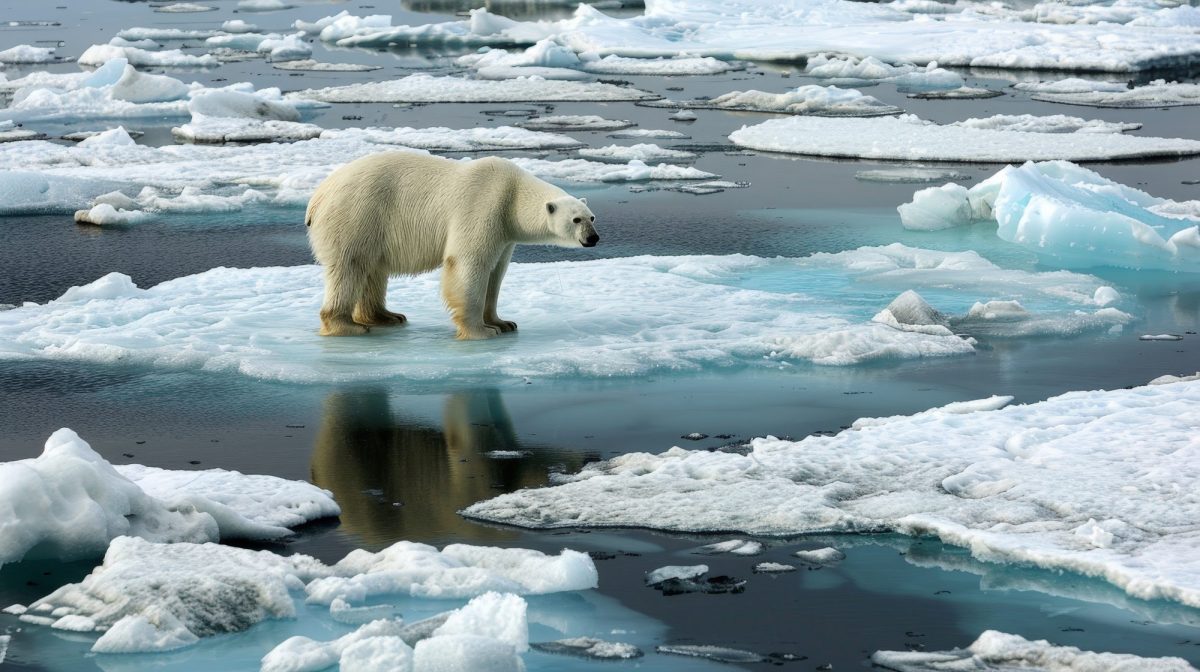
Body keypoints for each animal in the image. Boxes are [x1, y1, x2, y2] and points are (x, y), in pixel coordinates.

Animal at [302, 154, 597, 338]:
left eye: (592, 217)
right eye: (576, 219)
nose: (593, 238)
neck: (513, 193)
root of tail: (317, 197)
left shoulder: (504, 233)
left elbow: (496, 273)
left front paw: (503, 322)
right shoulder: (484, 205)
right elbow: (469, 263)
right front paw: (482, 331)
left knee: (372, 270)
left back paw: (386, 316)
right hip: (356, 214)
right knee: (350, 266)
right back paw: (348, 326)